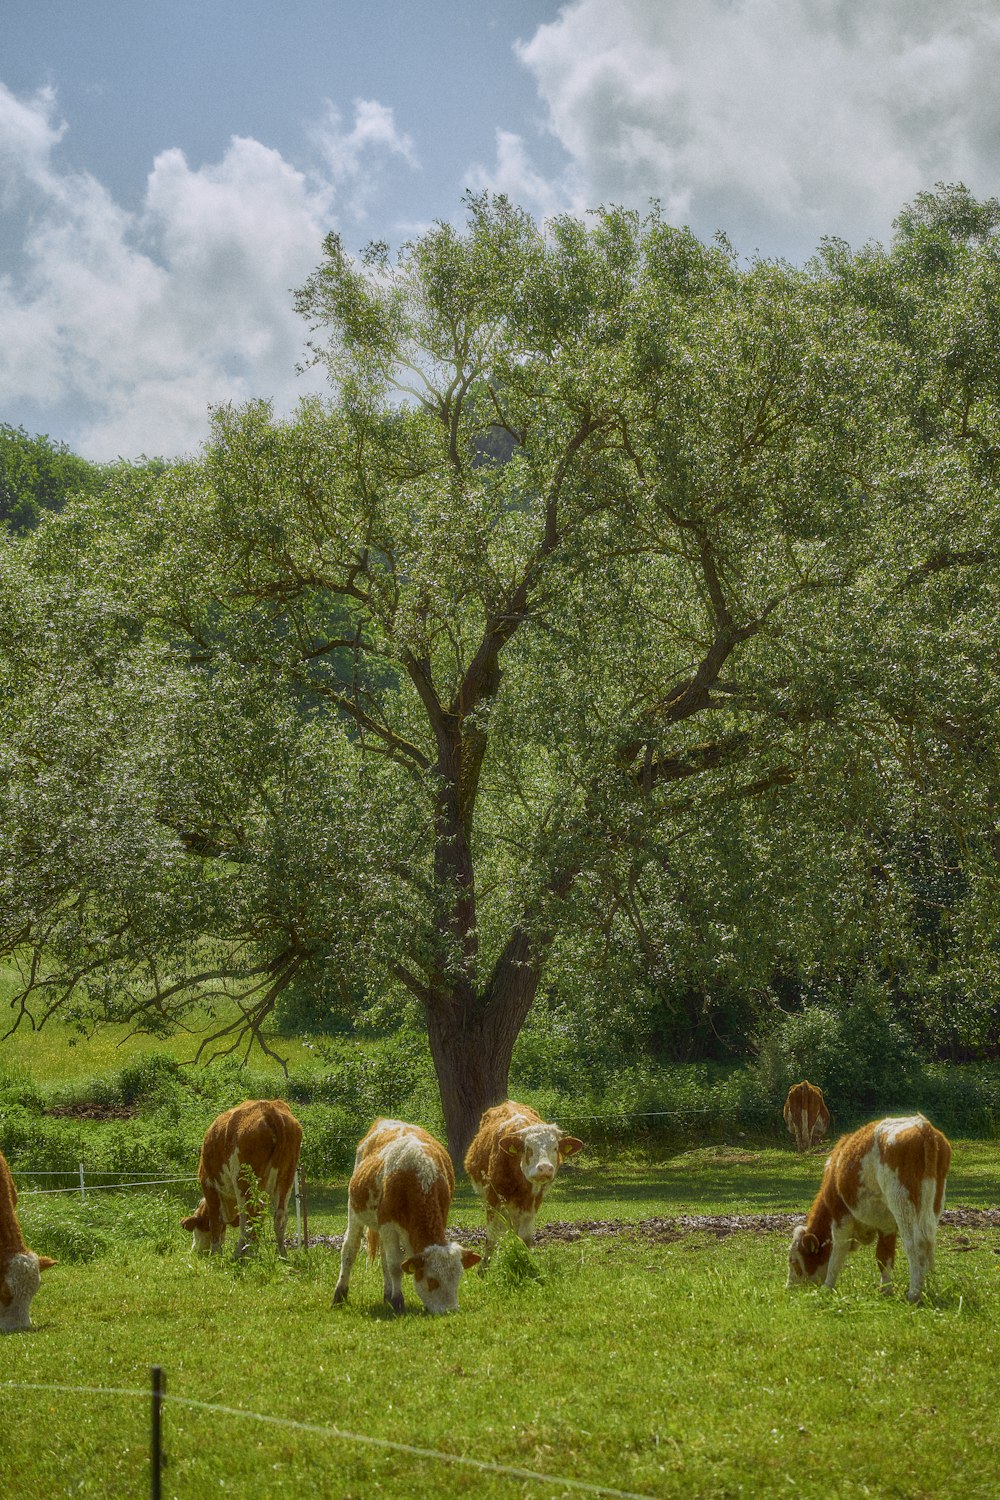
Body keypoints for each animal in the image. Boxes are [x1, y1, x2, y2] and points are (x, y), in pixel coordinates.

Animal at [180, 1104, 301, 1254]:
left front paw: (215, 1253)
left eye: (197, 1226)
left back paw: (238, 1254)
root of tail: (269, 1108)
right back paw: (281, 1254)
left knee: (246, 1220)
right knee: (279, 1218)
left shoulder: (208, 1185)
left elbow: (215, 1221)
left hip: (243, 1182)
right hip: (286, 1178)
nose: (195, 1250)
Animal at [332, 1116, 479, 1314]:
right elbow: (395, 1265)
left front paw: (395, 1298)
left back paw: (386, 1294)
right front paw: (398, 1302)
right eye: (432, 1281)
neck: (419, 1175)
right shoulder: (388, 1224)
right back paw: (339, 1296)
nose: (450, 1311)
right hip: (354, 1211)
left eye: (457, 1279)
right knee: (350, 1250)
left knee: (383, 1257)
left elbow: (395, 1262)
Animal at [470, 1104, 587, 1266]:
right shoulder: (493, 1199)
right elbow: (491, 1237)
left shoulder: (532, 1203)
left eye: (555, 1148)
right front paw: (484, 1269)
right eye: (528, 1148)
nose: (545, 1168)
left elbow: (524, 1239)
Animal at [785, 1116, 953, 1302]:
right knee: (929, 1242)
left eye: (793, 1261)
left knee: (916, 1243)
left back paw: (914, 1293)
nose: (788, 1288)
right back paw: (928, 1288)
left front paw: (827, 1287)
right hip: (934, 1202)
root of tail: (922, 1125)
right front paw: (885, 1290)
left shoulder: (841, 1217)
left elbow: (837, 1253)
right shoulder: (887, 1226)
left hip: (902, 1203)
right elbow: (884, 1257)